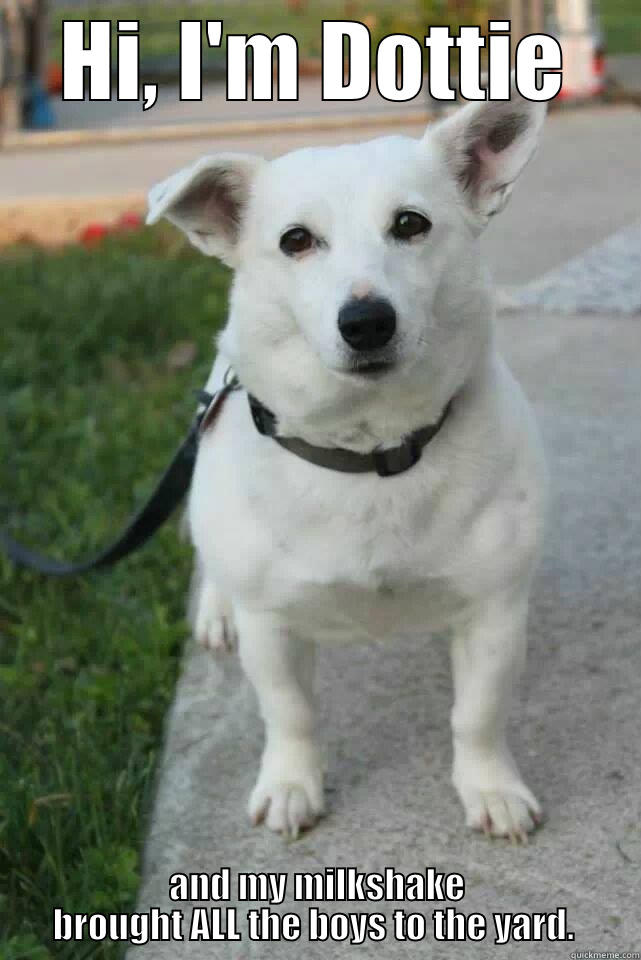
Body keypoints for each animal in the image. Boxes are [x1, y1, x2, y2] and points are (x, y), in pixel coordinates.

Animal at [149, 90, 544, 840]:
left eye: (410, 224)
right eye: (296, 241)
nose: (366, 321)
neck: (367, 450)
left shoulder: (495, 612)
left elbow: (477, 714)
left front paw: (490, 786)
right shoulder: (271, 626)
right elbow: (290, 712)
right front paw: (291, 784)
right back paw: (215, 612)